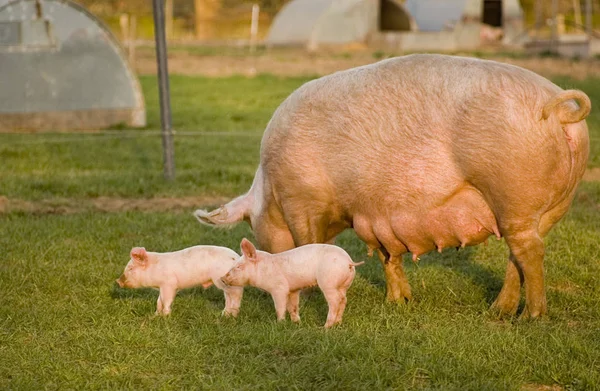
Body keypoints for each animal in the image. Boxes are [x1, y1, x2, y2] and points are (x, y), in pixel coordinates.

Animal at [196, 54, 592, 318]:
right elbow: (389, 255)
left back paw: (530, 318)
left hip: (513, 192)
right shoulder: (376, 214)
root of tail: (556, 109)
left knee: (530, 253)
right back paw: (499, 311)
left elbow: (310, 245)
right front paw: (400, 302)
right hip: (549, 206)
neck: (271, 189)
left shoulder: (303, 202)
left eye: (251, 224)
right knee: (519, 254)